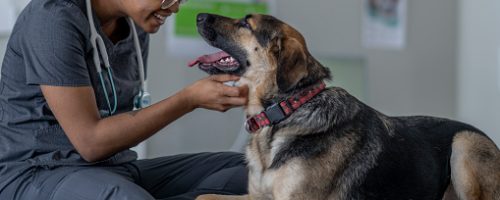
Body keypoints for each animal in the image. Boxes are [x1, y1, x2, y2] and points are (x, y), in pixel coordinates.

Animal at [188, 13, 500, 199]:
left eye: (245, 23)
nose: (199, 15)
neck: (286, 109)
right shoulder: (256, 196)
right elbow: (203, 194)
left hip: (464, 144)